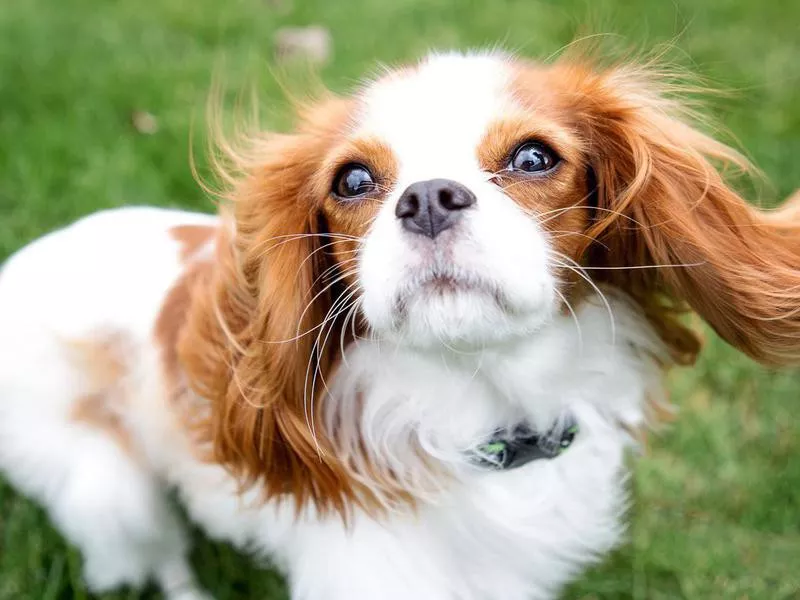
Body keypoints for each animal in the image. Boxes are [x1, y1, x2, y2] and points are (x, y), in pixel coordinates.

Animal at [1, 51, 800, 600]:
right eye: (353, 180)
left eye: (534, 157)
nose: (428, 198)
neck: (481, 406)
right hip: (108, 489)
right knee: (157, 554)